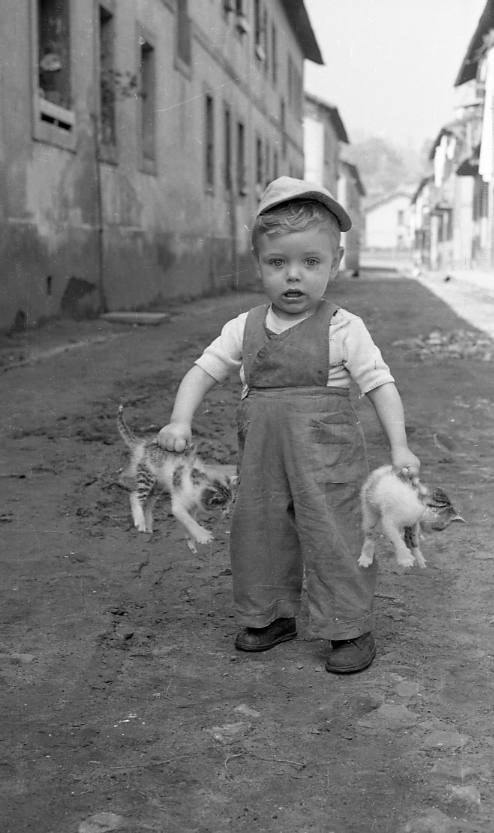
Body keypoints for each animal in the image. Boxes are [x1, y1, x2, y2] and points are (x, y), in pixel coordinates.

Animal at [118, 404, 236, 552]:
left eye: (230, 505)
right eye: (222, 507)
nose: (227, 513)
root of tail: (145, 445)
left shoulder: (193, 507)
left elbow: (189, 521)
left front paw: (191, 541)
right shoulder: (179, 504)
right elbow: (188, 520)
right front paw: (203, 535)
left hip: (159, 485)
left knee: (149, 502)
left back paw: (148, 523)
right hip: (147, 476)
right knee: (134, 496)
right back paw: (140, 521)